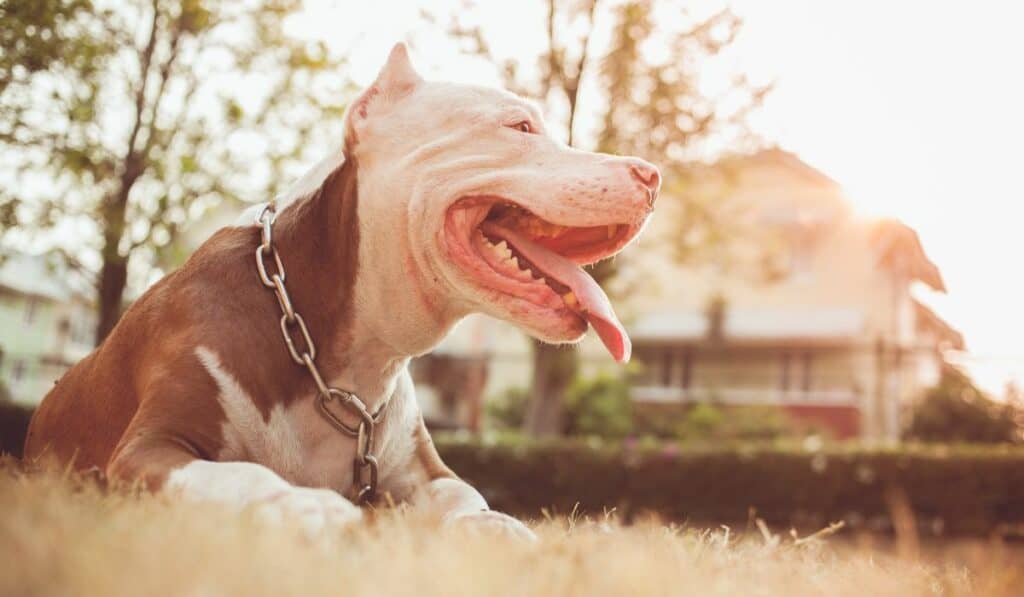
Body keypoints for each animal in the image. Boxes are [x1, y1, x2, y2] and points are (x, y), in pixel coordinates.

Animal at [25, 43, 663, 536]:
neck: (345, 358)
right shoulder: (147, 449)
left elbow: (466, 495)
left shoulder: (424, 472)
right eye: (521, 127)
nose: (653, 174)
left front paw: (492, 525)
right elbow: (240, 473)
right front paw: (300, 504)